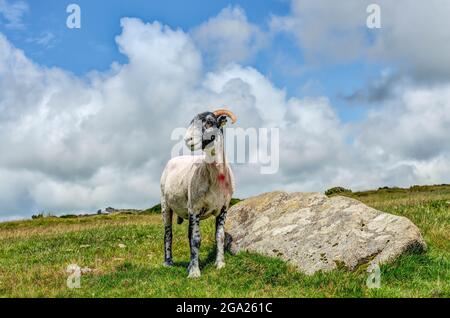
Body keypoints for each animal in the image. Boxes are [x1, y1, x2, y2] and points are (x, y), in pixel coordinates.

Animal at [162, 109, 239, 278]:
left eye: (209, 122)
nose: (188, 139)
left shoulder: (223, 208)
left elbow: (220, 237)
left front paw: (220, 264)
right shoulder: (195, 208)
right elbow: (196, 240)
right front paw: (194, 272)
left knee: (187, 235)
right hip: (166, 205)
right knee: (168, 233)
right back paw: (168, 262)